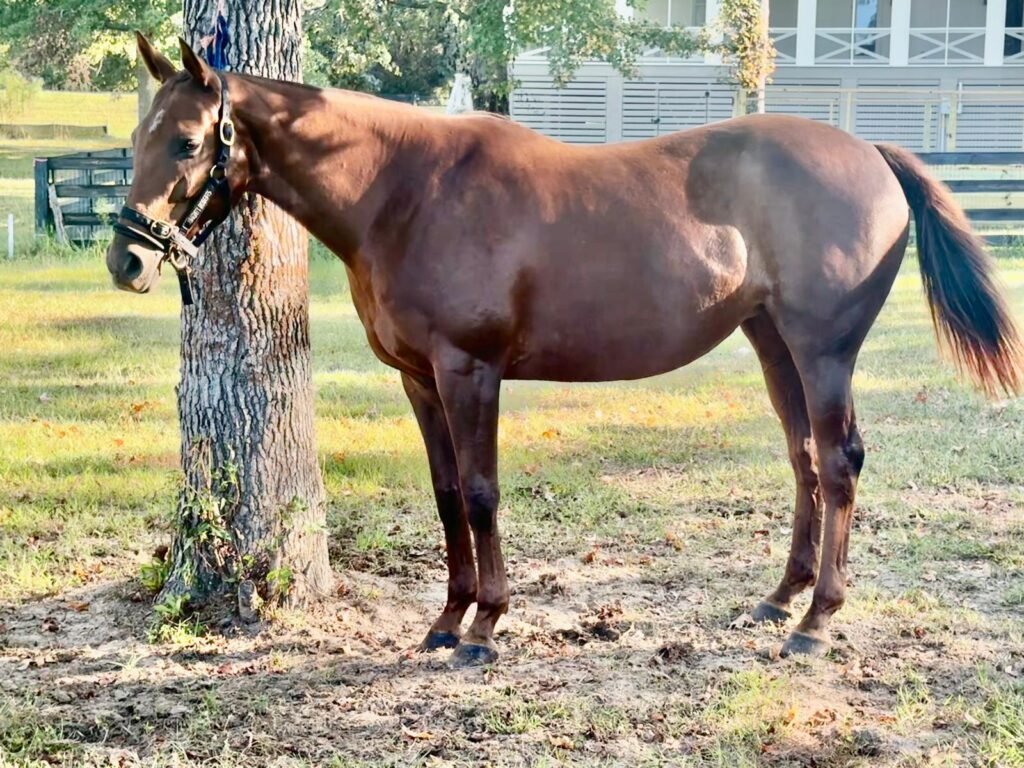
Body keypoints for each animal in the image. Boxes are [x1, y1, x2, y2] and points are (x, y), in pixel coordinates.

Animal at [108, 35, 1022, 666]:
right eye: (136, 136)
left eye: (187, 141)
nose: (127, 259)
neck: (405, 192)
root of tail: (871, 154)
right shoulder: (419, 382)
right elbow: (447, 495)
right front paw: (446, 620)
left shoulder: (469, 371)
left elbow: (481, 494)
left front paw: (486, 626)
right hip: (774, 347)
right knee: (804, 460)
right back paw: (780, 598)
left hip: (823, 350)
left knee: (837, 463)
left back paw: (817, 620)